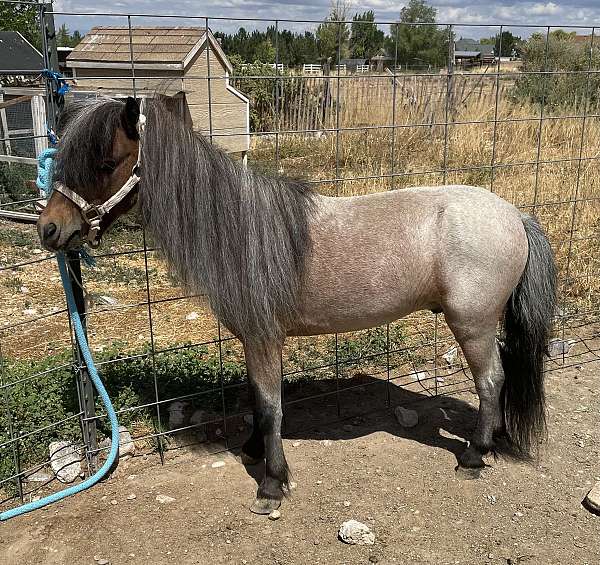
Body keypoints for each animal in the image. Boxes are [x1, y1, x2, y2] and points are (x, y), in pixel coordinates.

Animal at [37, 98, 556, 516]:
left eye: (106, 162)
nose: (49, 230)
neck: (241, 230)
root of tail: (515, 215)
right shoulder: (254, 342)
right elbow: (256, 399)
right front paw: (252, 451)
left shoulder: (265, 337)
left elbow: (271, 408)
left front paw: (271, 485)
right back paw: (494, 443)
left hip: (472, 324)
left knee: (491, 381)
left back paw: (474, 455)